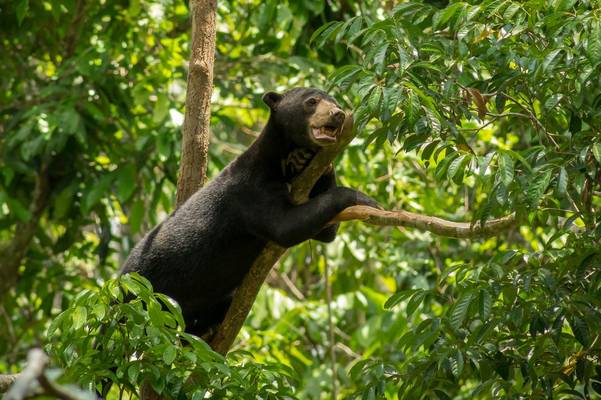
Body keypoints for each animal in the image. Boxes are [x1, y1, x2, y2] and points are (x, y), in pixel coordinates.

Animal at [120, 88, 378, 338]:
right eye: (312, 101)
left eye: (336, 102)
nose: (338, 114)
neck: (277, 160)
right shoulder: (250, 190)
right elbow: (286, 226)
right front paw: (366, 199)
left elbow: (326, 232)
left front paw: (305, 159)